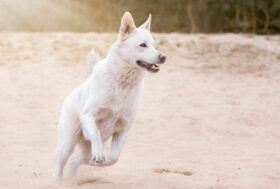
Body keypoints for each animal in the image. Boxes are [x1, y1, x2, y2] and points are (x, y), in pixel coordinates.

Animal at [53, 11, 166, 180]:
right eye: (142, 45)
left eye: (153, 44)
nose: (163, 57)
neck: (122, 82)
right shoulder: (88, 115)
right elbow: (95, 134)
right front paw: (99, 155)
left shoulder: (124, 128)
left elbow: (114, 158)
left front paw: (100, 162)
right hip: (68, 142)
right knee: (61, 163)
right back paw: (57, 181)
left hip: (85, 151)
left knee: (76, 161)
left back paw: (73, 178)